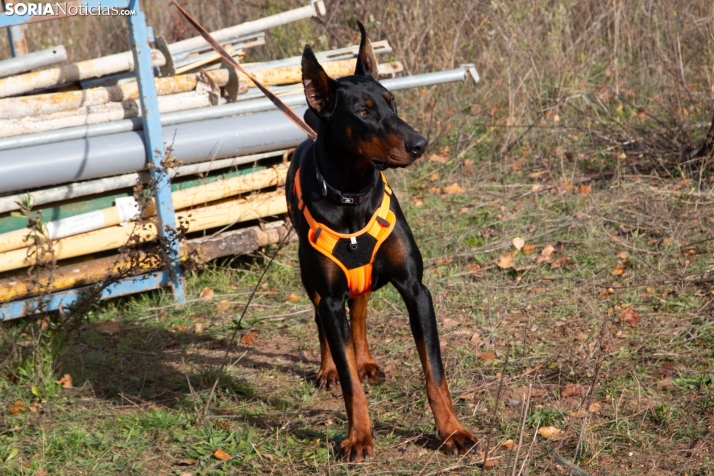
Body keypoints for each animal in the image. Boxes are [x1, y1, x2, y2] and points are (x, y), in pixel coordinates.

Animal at [286, 21, 478, 462]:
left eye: (392, 102)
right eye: (362, 112)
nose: (420, 143)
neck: (351, 194)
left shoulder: (415, 288)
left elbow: (434, 372)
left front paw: (451, 430)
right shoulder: (330, 293)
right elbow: (349, 383)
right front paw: (359, 436)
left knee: (360, 312)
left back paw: (366, 360)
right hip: (311, 278)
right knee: (323, 320)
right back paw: (328, 369)